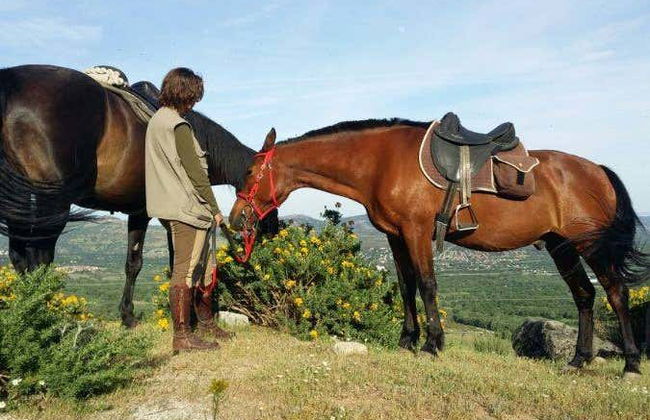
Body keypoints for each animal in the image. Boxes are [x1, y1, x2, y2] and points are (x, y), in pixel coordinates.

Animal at [0, 64, 278, 327]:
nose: (273, 228)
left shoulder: (142, 213)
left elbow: (137, 263)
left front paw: (128, 315)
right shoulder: (153, 213)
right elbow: (159, 261)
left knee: (19, 256)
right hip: (51, 204)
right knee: (39, 258)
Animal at [229, 121, 649, 377]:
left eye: (249, 172)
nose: (235, 219)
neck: (380, 162)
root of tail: (597, 169)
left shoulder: (416, 231)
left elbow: (428, 285)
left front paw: (432, 344)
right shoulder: (396, 235)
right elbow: (407, 287)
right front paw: (407, 341)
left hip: (591, 245)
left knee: (616, 293)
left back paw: (630, 364)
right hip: (561, 246)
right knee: (584, 295)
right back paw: (578, 360)